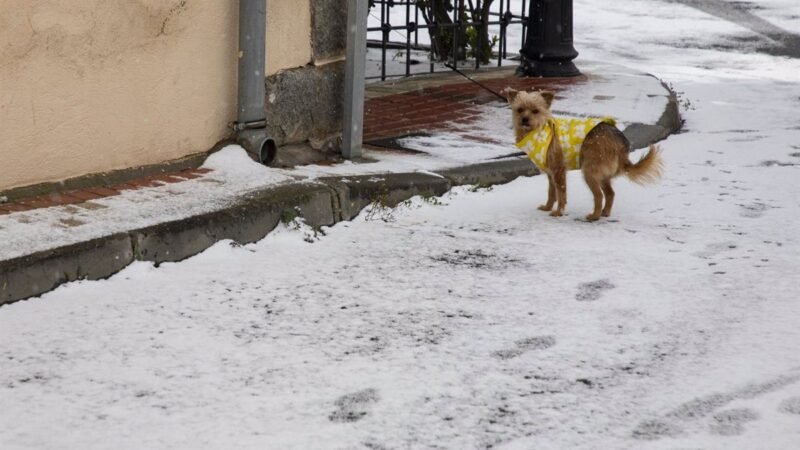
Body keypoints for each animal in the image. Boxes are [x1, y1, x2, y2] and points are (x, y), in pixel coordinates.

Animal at [506, 87, 664, 221]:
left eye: (535, 111)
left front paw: (558, 212)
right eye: (519, 110)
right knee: (610, 193)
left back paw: (595, 215)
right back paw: (605, 212)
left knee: (599, 195)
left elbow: (561, 194)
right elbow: (551, 192)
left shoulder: (558, 171)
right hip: (602, 174)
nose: (524, 119)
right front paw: (547, 207)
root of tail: (620, 141)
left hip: (589, 171)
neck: (539, 129)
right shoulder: (551, 174)